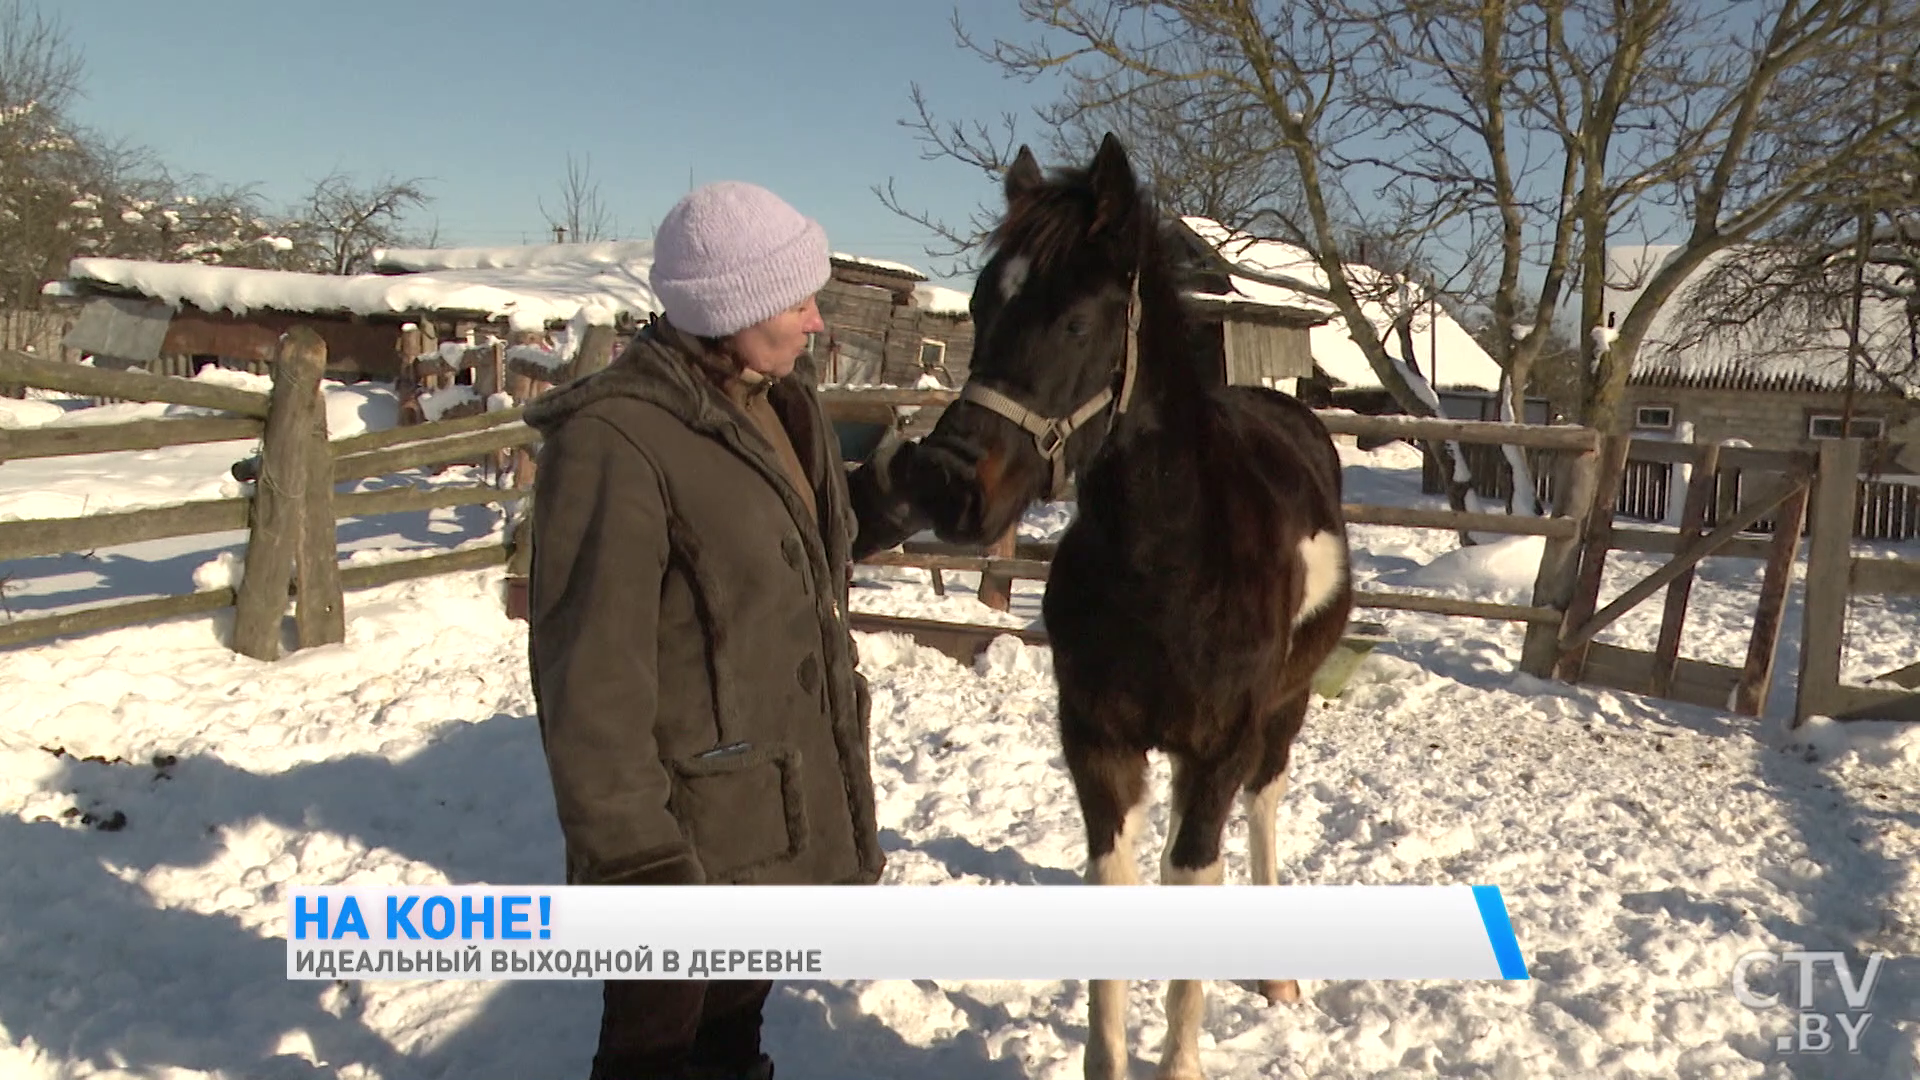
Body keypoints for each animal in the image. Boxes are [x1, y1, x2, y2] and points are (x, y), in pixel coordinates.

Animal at [898, 134, 1351, 1076]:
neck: (1169, 566)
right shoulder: (1099, 745)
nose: (950, 484)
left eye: (1076, 321)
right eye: (981, 306)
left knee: (1263, 806)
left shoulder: (1218, 750)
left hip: (1282, 711)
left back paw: (1279, 976)